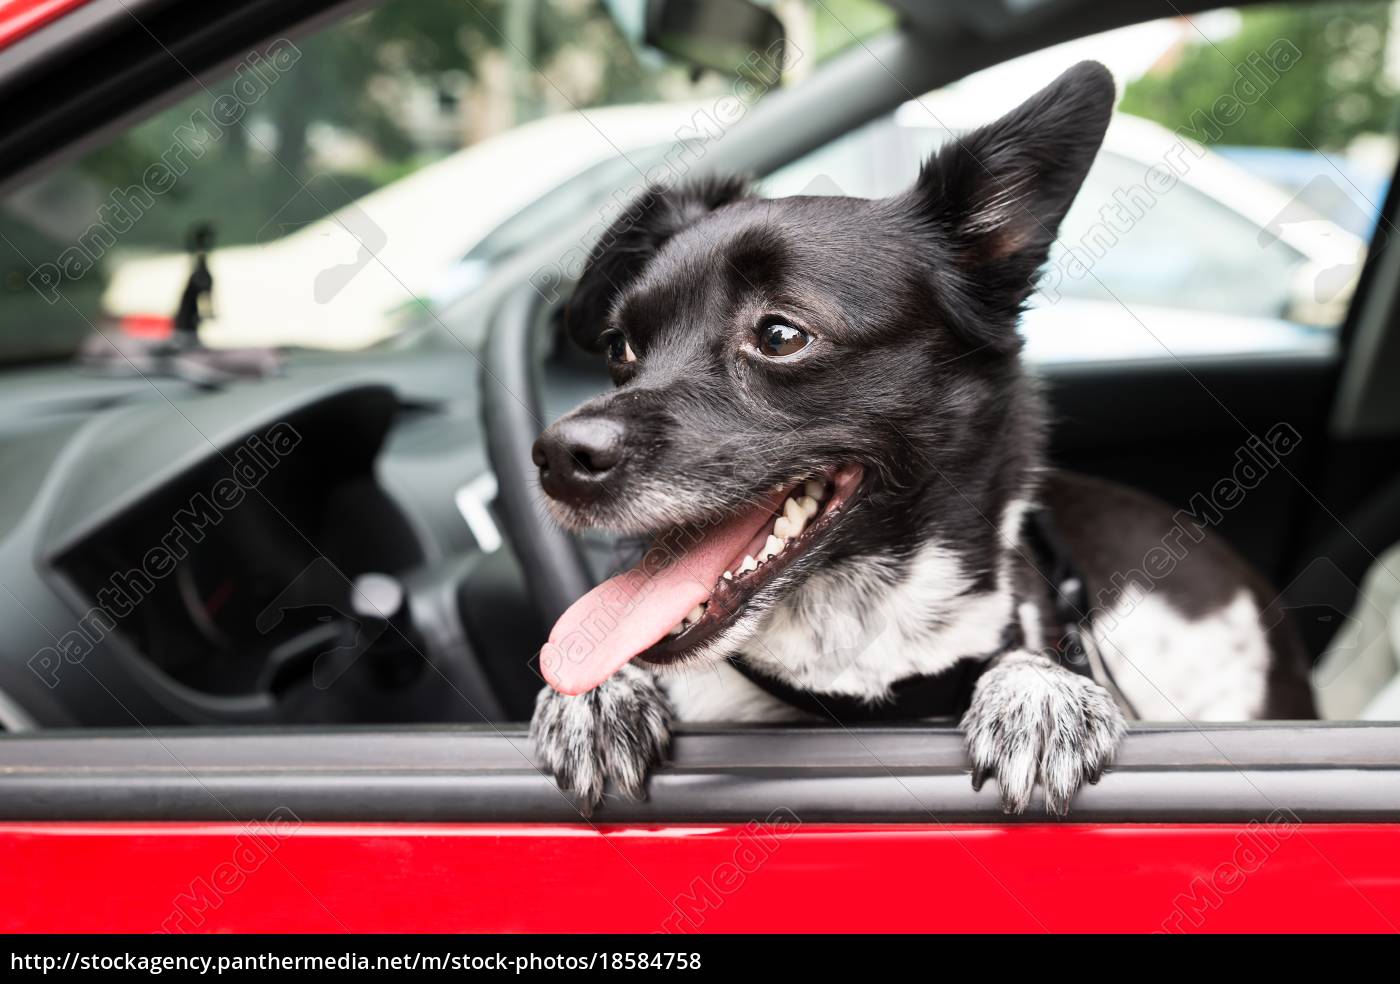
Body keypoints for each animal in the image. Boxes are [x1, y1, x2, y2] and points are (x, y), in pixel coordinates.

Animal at [523, 59, 1310, 817]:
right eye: (621, 347)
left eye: (780, 334)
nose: (556, 458)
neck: (850, 665)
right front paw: (594, 694)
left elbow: (1021, 657)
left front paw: (1037, 687)